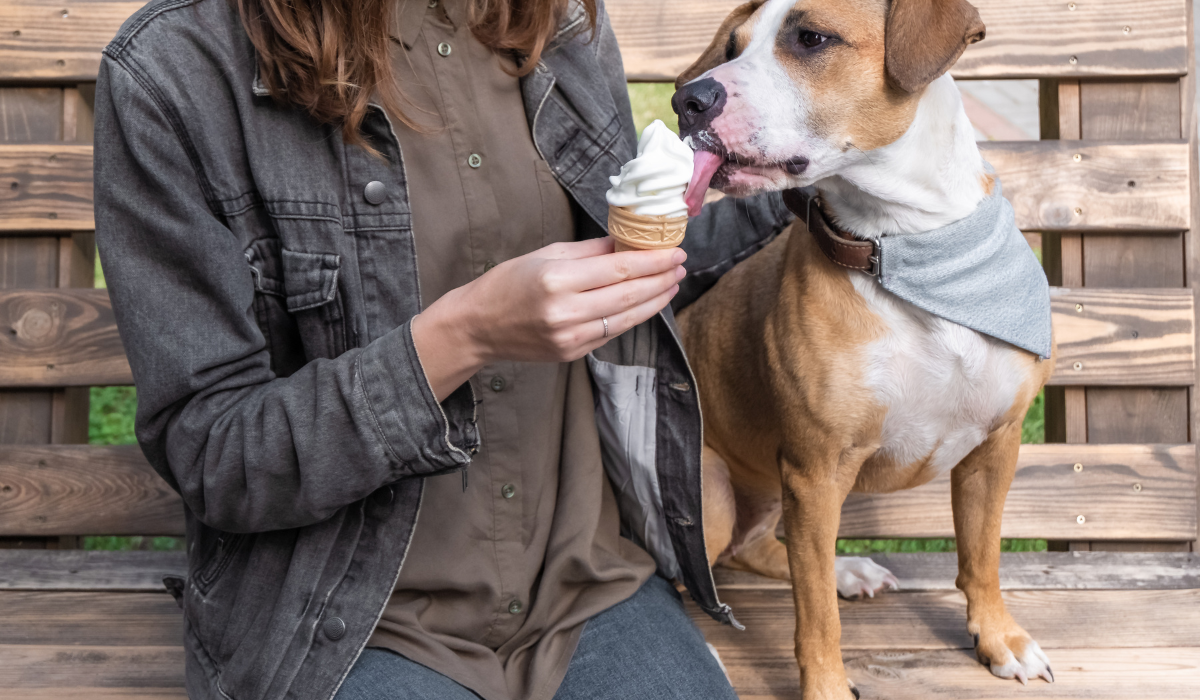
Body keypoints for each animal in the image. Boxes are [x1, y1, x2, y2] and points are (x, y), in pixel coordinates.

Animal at [676, 1, 1060, 700]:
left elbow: (982, 555)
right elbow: (814, 616)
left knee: (754, 549)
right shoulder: (815, 471)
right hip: (711, 490)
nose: (688, 99)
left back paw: (847, 570)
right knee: (685, 569)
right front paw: (827, 686)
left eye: (811, 38)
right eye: (733, 47)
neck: (907, 248)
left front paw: (1000, 639)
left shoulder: (997, 444)